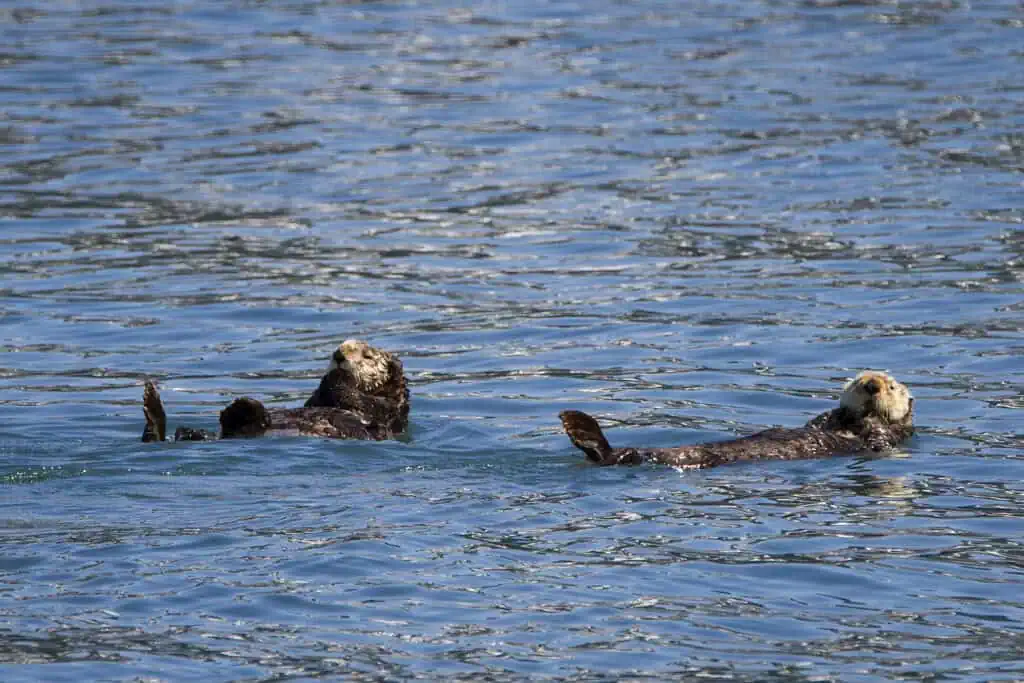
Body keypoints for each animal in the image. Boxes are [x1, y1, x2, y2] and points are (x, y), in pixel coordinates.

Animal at [141, 340, 409, 442]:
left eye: (368, 356)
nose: (339, 355)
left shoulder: (384, 409)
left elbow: (356, 398)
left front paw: (339, 375)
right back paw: (153, 404)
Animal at [560, 371, 914, 468]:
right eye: (857, 382)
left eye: (892, 386)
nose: (872, 386)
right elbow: (818, 422)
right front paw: (838, 411)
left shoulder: (887, 439)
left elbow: (880, 434)